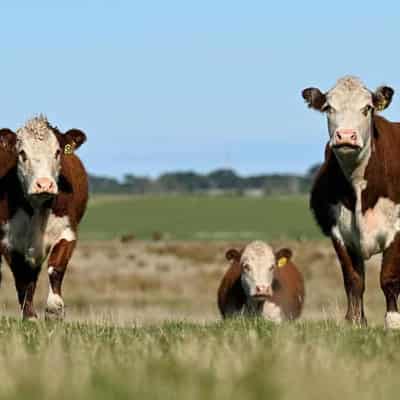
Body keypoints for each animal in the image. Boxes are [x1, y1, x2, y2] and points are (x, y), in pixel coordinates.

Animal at [0, 115, 88, 318]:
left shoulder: (67, 231)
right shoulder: (8, 240)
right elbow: (22, 278)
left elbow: (55, 268)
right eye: (22, 153)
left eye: (57, 152)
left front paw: (54, 309)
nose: (44, 184)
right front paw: (29, 316)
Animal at [302, 76, 400, 328]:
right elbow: (353, 280)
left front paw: (393, 321)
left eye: (367, 108)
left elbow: (389, 277)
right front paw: (355, 321)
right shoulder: (339, 232)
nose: (346, 135)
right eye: (328, 108)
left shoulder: (397, 229)